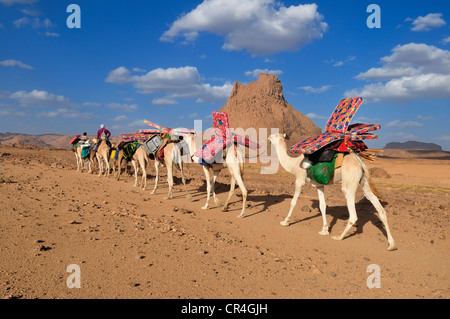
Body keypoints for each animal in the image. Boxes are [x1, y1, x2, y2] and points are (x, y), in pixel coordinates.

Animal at [268, 133, 398, 252]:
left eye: (274, 135)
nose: (268, 137)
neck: (293, 164)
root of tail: (360, 162)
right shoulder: (319, 185)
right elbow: (322, 206)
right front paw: (324, 230)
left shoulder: (299, 180)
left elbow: (293, 202)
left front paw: (285, 221)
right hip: (364, 181)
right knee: (379, 207)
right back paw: (391, 244)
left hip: (349, 182)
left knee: (353, 213)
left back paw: (339, 236)